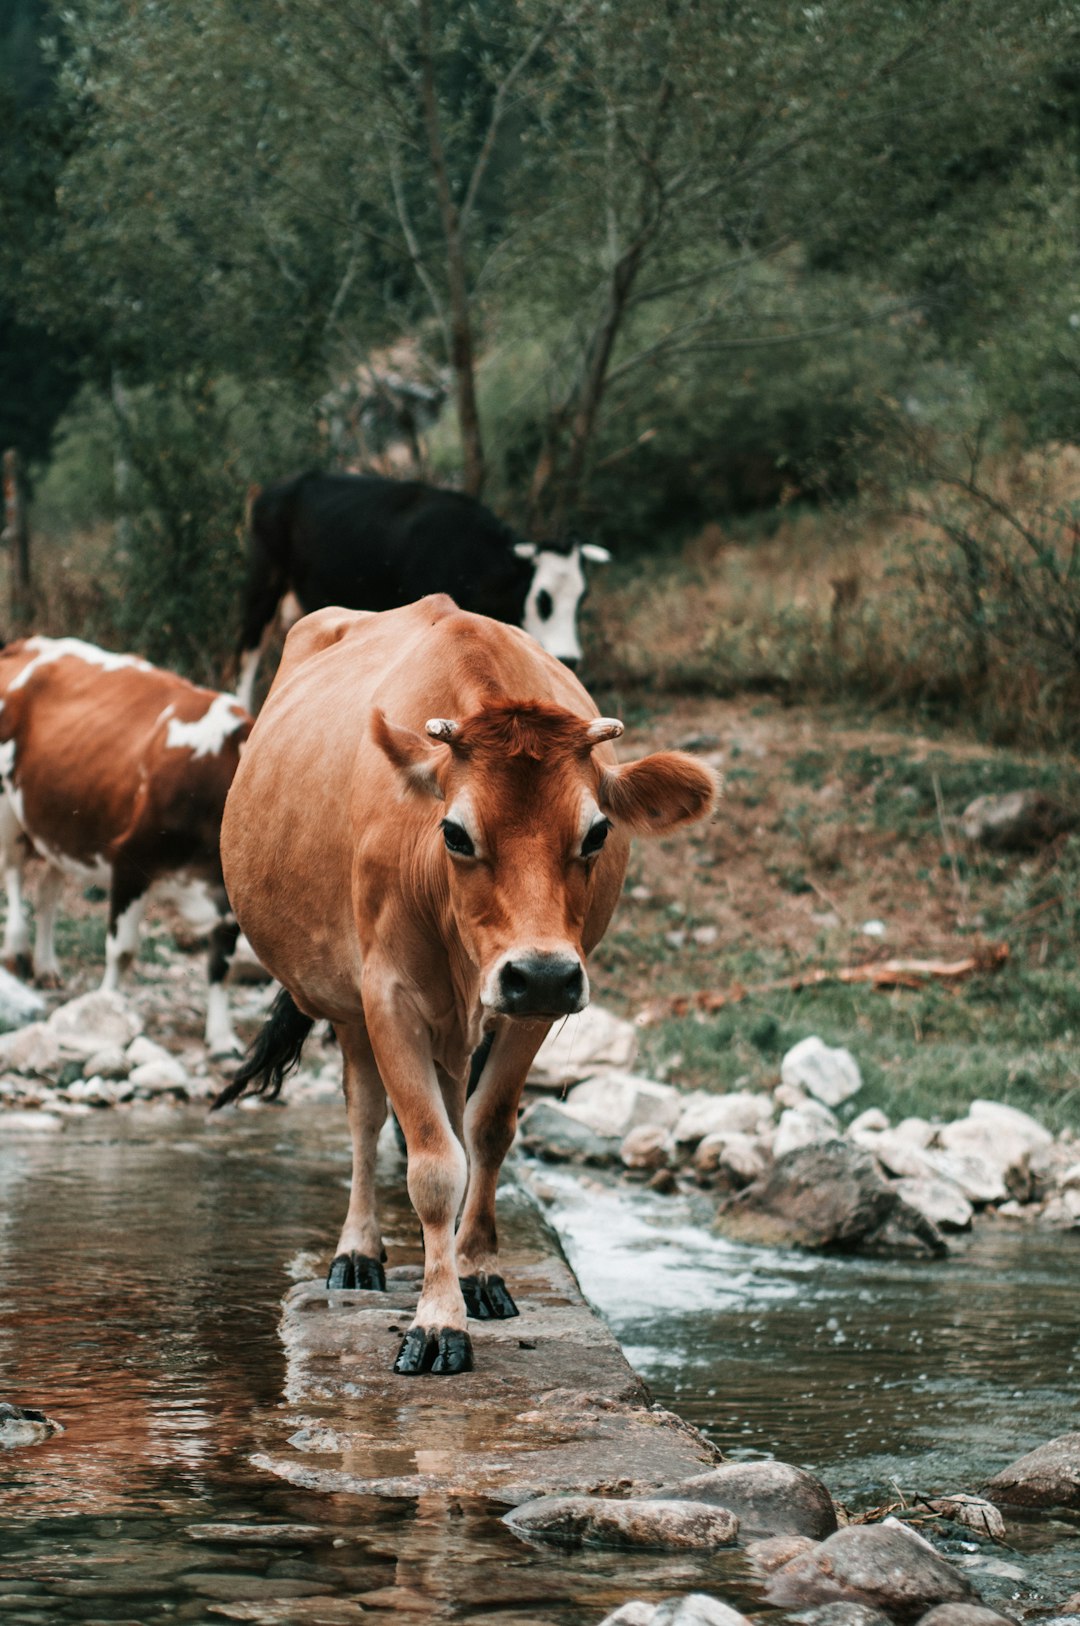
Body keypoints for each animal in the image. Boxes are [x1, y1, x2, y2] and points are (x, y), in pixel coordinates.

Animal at [0, 634, 250, 1053]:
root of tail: (28, 643)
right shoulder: (131, 861)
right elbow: (123, 950)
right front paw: (106, 1012)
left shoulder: (229, 898)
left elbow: (222, 964)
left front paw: (221, 1036)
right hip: (9, 808)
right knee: (14, 872)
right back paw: (17, 947)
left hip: (60, 817)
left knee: (47, 890)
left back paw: (47, 965)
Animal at [216, 598, 715, 1372]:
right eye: (454, 832)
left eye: (597, 833)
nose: (542, 973)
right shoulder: (388, 996)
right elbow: (431, 1164)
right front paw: (436, 1322)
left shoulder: (531, 1008)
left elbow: (485, 1131)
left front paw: (475, 1274)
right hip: (348, 1003)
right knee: (364, 1114)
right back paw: (357, 1254)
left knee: (453, 1108)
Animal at [234, 471, 608, 712]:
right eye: (543, 598)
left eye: (581, 598)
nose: (570, 658)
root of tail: (274, 489)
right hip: (263, 585)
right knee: (248, 654)